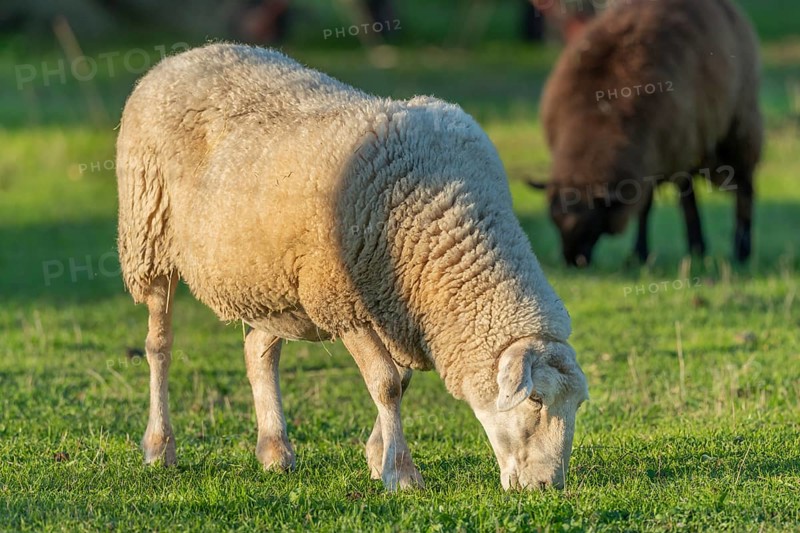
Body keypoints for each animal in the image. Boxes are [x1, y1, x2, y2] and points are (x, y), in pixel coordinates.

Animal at [116, 43, 588, 491]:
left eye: (577, 404)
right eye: (536, 400)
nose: (547, 486)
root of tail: (181, 58)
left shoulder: (393, 306)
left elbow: (400, 380)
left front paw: (377, 455)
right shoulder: (345, 304)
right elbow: (386, 383)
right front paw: (400, 472)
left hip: (273, 280)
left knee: (259, 354)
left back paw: (274, 450)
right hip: (150, 237)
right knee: (159, 346)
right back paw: (159, 446)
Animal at [529, 0, 763, 266]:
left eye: (589, 224)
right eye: (553, 220)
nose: (573, 261)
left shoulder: (654, 155)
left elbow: (645, 207)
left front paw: (639, 253)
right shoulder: (652, 157)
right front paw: (641, 255)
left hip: (739, 124)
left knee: (744, 187)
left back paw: (740, 250)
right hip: (691, 141)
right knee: (691, 194)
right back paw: (698, 248)